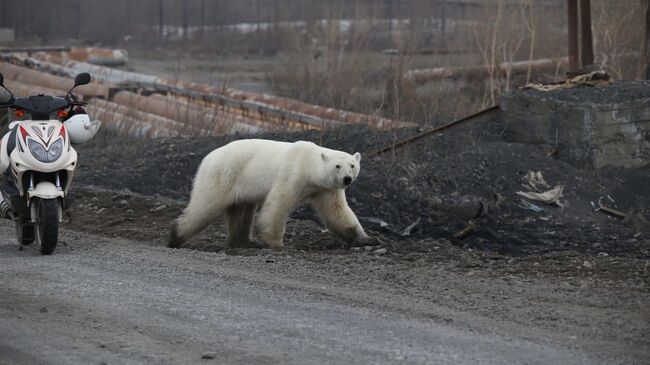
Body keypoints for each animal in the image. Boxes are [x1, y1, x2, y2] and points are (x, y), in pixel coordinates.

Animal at [167, 138, 370, 249]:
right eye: (337, 166)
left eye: (352, 165)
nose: (347, 179)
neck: (309, 167)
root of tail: (207, 157)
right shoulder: (292, 174)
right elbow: (278, 203)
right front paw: (276, 243)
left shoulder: (325, 189)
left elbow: (337, 211)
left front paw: (365, 239)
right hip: (224, 175)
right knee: (206, 205)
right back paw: (175, 236)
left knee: (241, 211)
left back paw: (243, 242)